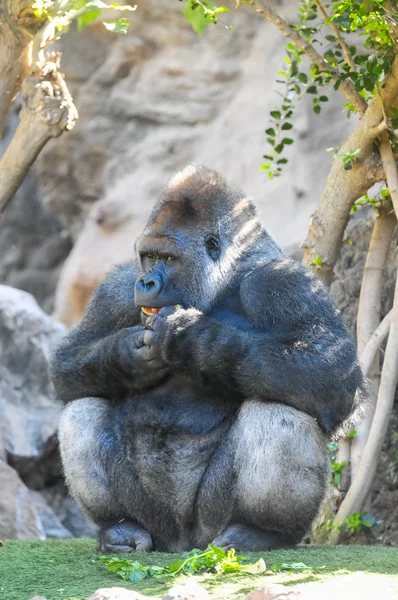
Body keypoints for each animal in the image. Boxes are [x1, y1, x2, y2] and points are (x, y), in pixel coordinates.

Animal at [50, 165, 364, 552]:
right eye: (149, 256)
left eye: (170, 259)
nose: (147, 283)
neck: (226, 276)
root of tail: (182, 543)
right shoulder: (118, 287)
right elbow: (66, 363)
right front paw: (126, 356)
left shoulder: (284, 282)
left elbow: (334, 376)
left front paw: (190, 338)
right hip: (157, 523)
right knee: (83, 406)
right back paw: (120, 527)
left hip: (210, 524)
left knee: (279, 408)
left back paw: (261, 530)